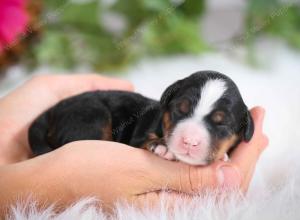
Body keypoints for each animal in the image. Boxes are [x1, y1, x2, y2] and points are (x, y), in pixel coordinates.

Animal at [28, 70, 253, 165]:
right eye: (180, 110)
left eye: (221, 124)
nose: (189, 141)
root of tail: (53, 110)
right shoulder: (140, 133)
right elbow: (145, 139)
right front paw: (162, 147)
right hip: (91, 116)